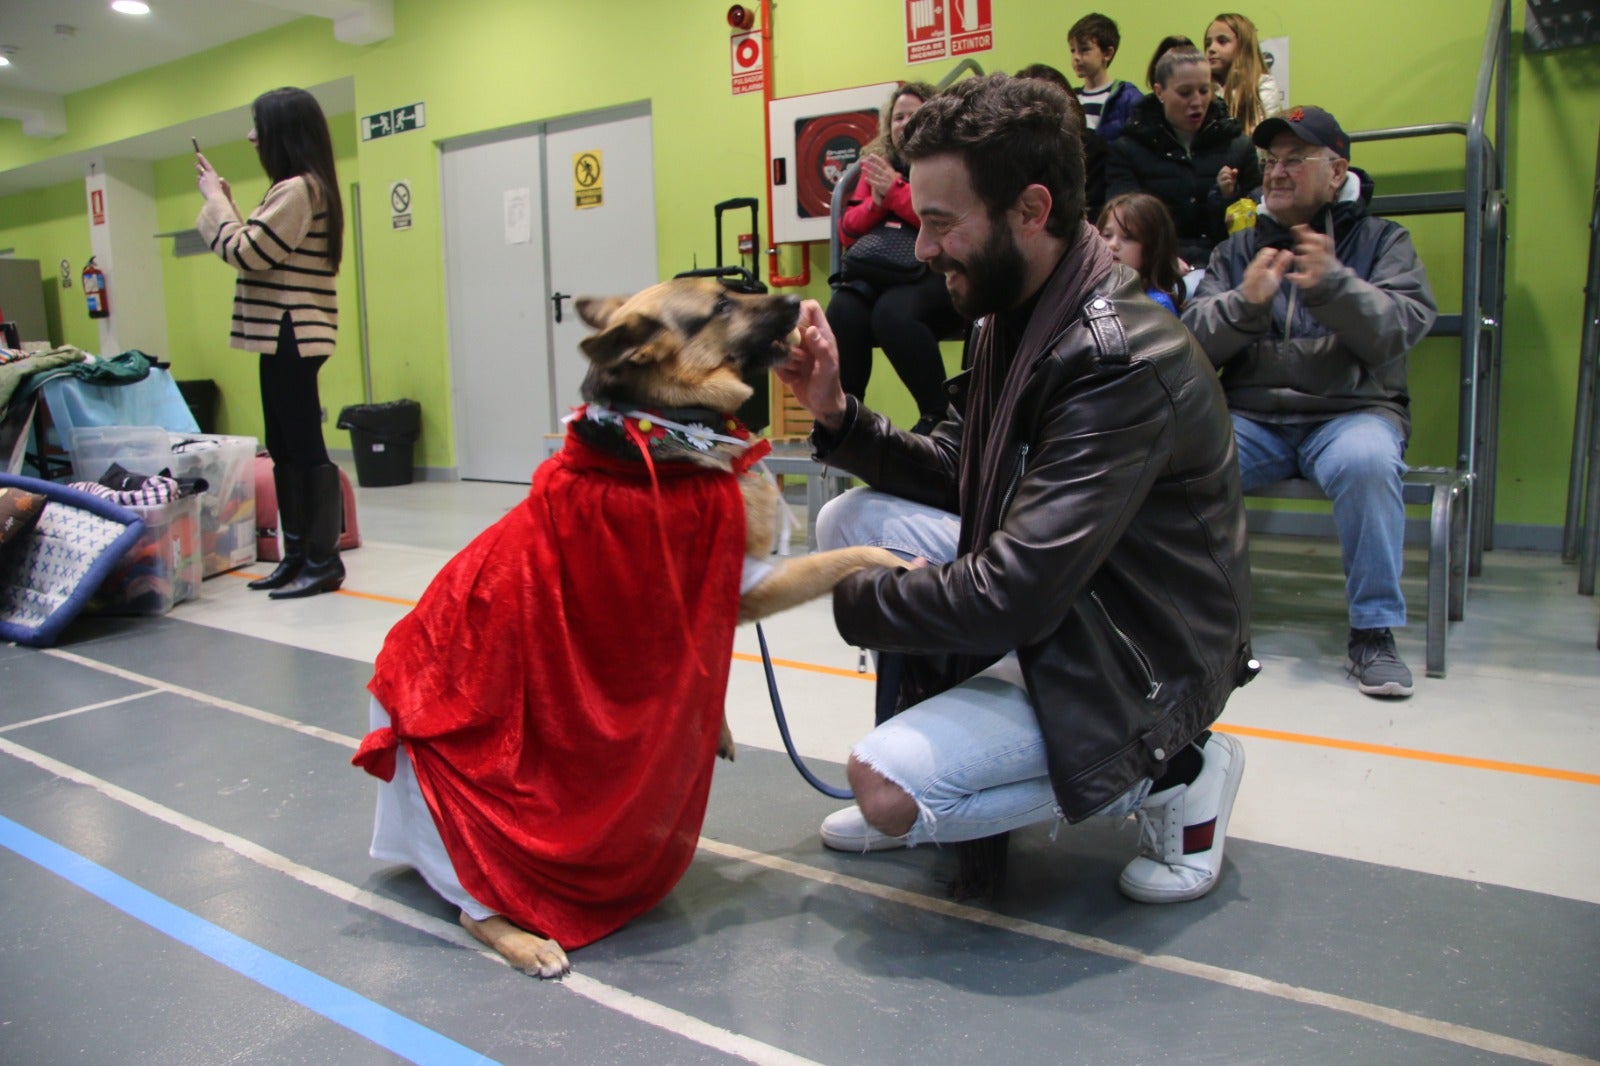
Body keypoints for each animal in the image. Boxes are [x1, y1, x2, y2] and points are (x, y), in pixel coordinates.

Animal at [451, 278, 902, 973]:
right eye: (721, 305)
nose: (798, 302)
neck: (664, 419)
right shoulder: (745, 586)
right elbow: (839, 559)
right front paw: (896, 559)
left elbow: (711, 672)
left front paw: (718, 728)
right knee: (473, 909)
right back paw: (529, 943)